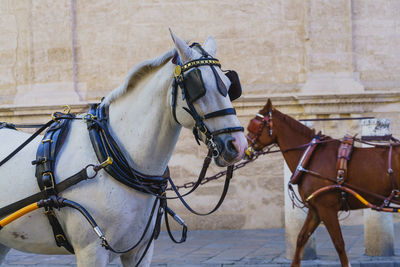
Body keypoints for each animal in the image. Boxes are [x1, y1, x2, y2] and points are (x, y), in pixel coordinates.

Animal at [0, 30, 247, 266]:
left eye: (229, 85)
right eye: (198, 87)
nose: (237, 144)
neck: (107, 157)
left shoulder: (140, 249)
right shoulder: (91, 251)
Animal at [245, 99, 400, 267]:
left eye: (254, 126)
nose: (243, 150)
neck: (311, 155)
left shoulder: (327, 209)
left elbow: (339, 243)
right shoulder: (315, 209)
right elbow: (301, 238)